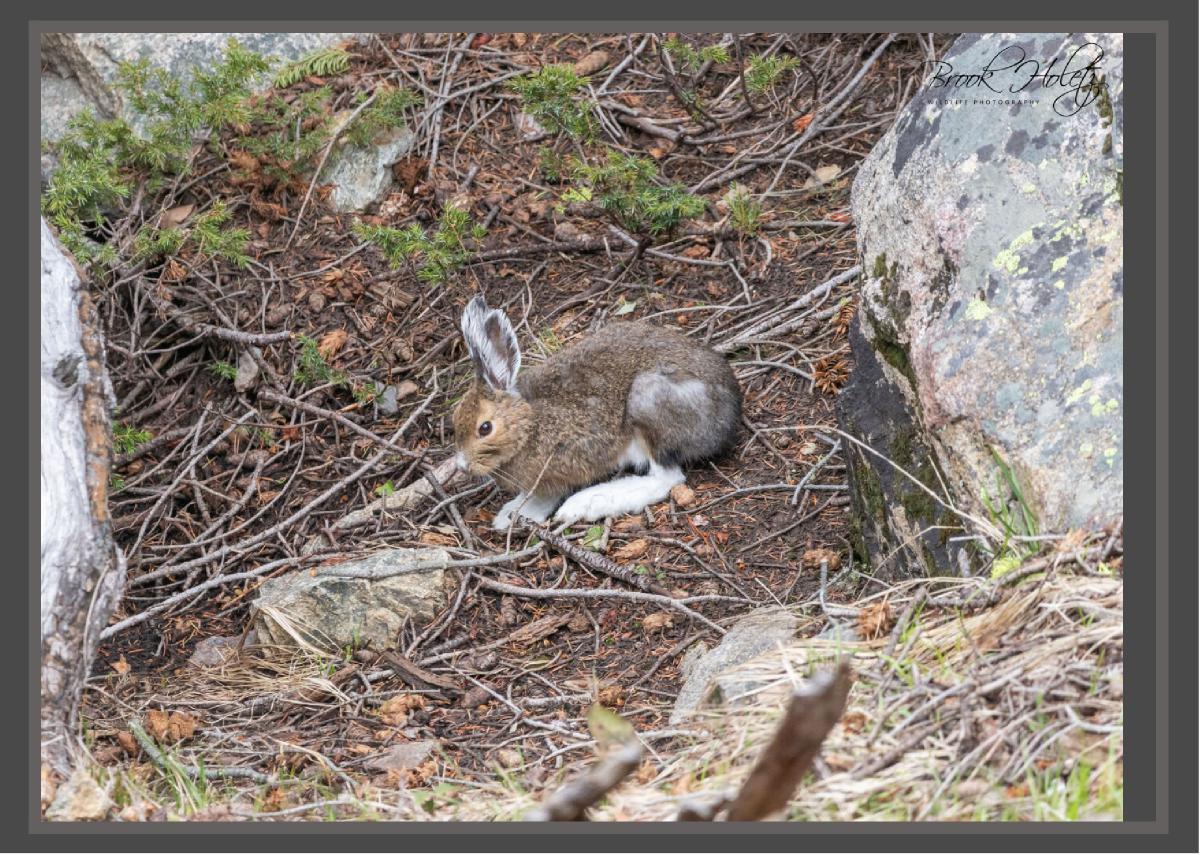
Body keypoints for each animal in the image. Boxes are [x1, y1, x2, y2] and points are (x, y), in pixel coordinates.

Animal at [451, 295, 742, 530]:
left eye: (485, 428)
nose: (463, 467)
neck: (528, 424)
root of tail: (730, 412)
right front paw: (508, 514)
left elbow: (543, 497)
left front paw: (522, 515)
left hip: (649, 400)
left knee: (667, 479)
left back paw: (589, 502)